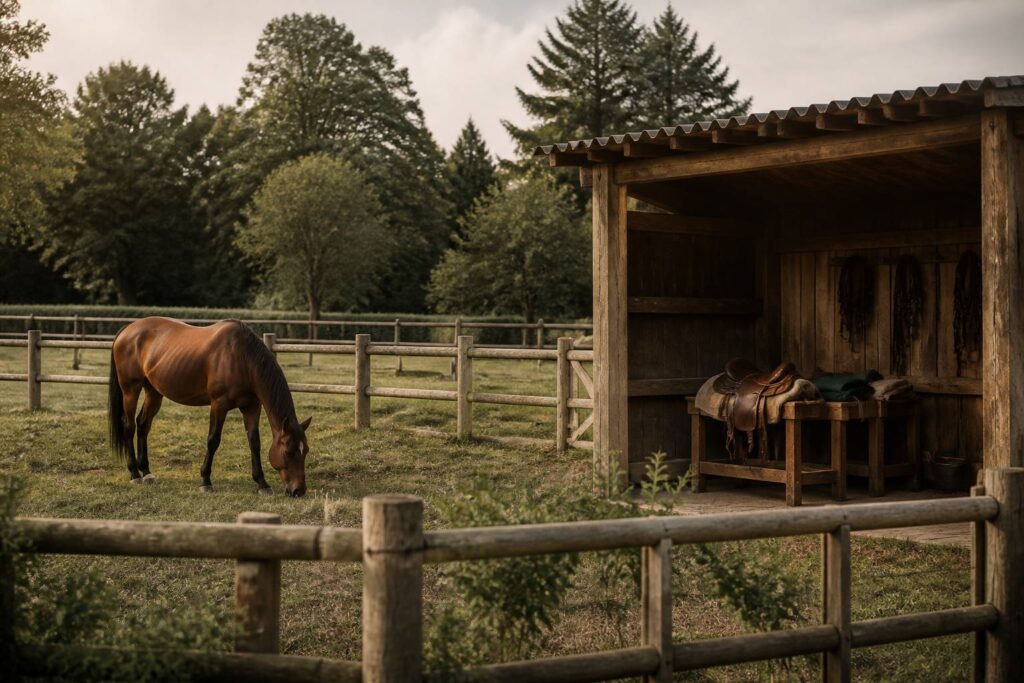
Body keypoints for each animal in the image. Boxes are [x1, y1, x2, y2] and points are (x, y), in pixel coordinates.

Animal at [108, 317, 311, 496]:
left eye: (306, 451)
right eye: (288, 451)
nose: (298, 490)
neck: (241, 358)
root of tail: (128, 329)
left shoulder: (252, 407)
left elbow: (254, 442)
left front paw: (262, 483)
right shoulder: (219, 404)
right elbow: (213, 440)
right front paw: (206, 481)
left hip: (154, 392)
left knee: (143, 424)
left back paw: (147, 472)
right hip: (130, 390)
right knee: (129, 425)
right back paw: (134, 473)